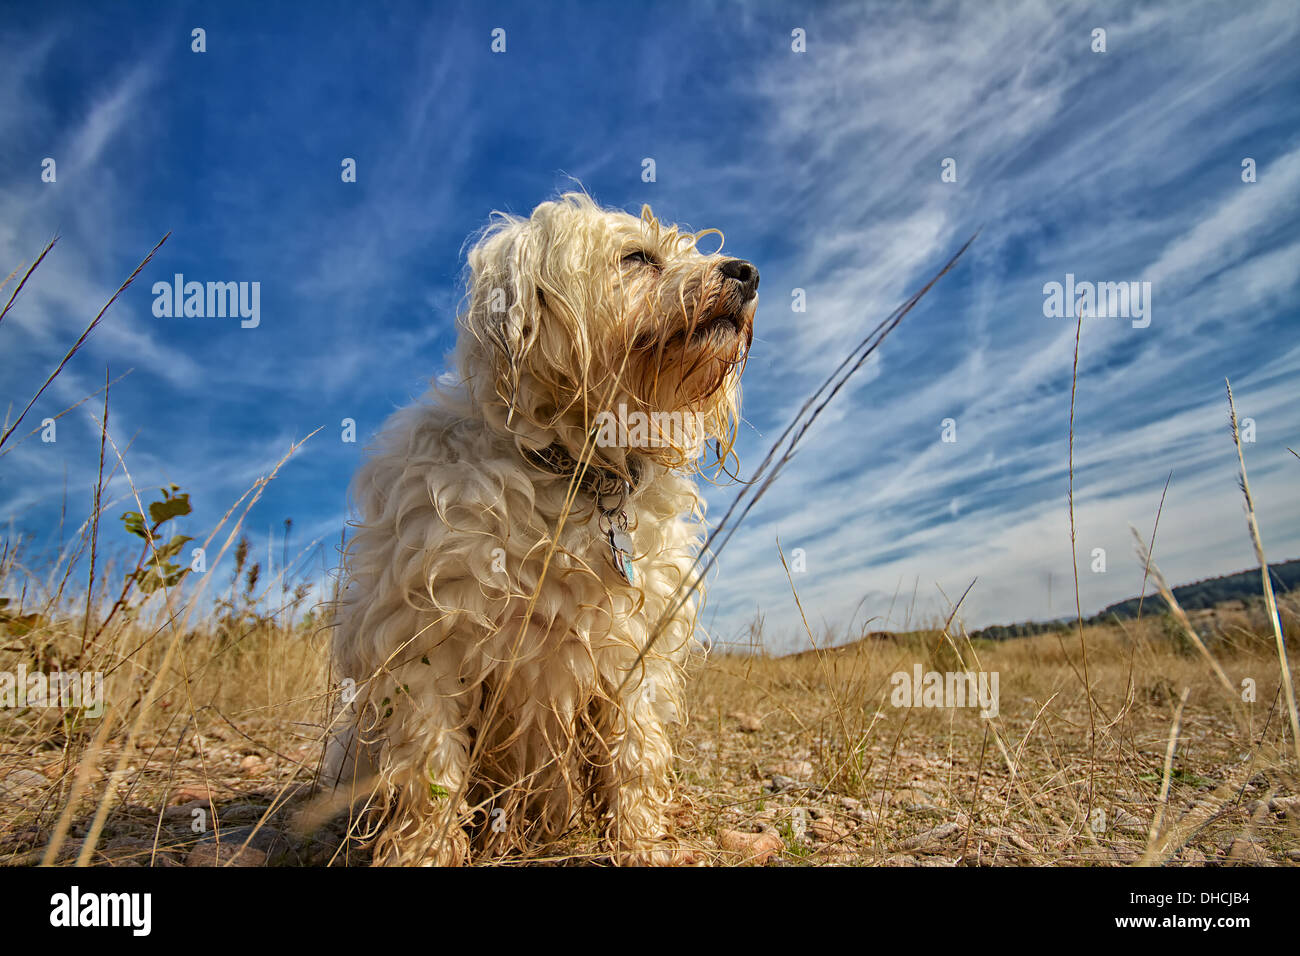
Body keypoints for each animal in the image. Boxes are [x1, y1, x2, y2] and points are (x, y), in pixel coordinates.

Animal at [319, 195, 759, 868]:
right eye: (638, 257)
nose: (748, 273)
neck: (574, 470)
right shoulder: (427, 650)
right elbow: (431, 774)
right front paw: (425, 853)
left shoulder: (634, 655)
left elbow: (634, 758)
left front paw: (641, 842)